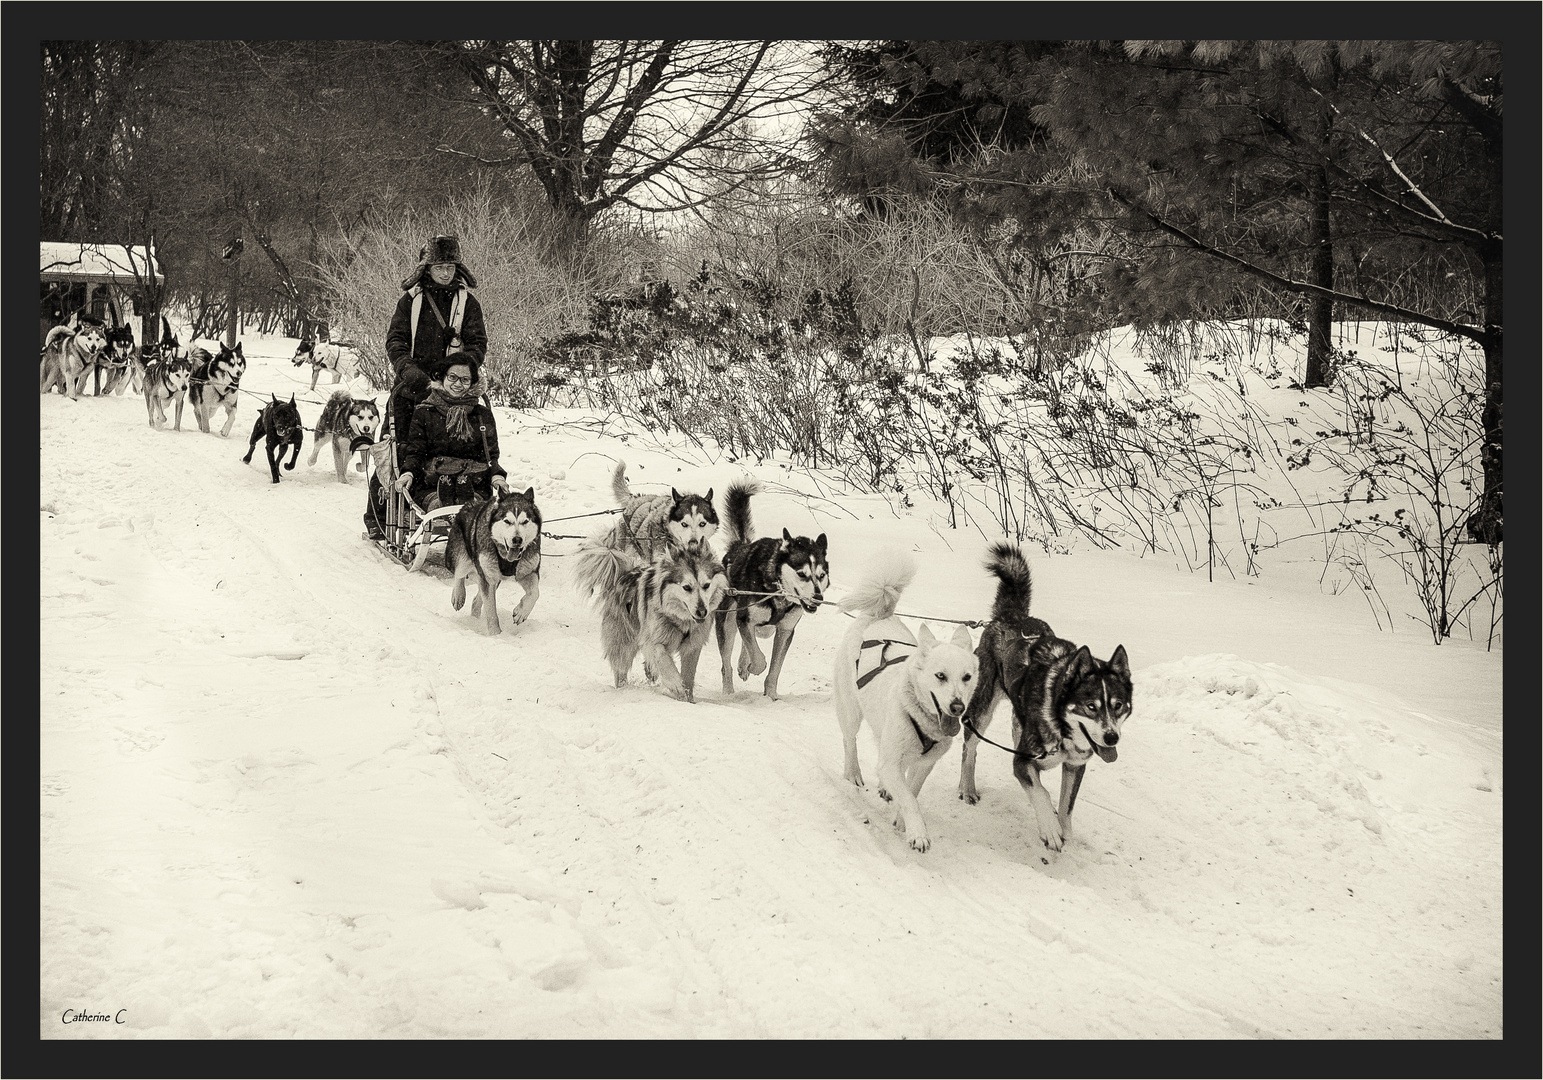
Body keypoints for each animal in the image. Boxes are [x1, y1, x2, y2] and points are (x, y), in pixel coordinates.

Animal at [447, 484, 543, 635]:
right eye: (507, 521)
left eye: (525, 521)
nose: (517, 539)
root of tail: (468, 504)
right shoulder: (488, 577)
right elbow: (491, 610)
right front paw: (496, 634)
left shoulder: (528, 571)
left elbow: (534, 593)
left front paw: (521, 612)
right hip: (465, 558)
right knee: (459, 573)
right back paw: (458, 595)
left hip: (493, 577)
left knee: (477, 599)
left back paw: (474, 619)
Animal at [573, 543, 728, 703]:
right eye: (686, 587)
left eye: (706, 585)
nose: (702, 611)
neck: (680, 619)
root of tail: (623, 576)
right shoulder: (652, 639)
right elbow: (662, 656)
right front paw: (675, 684)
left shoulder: (693, 645)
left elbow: (689, 676)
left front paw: (687, 698)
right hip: (622, 641)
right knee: (621, 668)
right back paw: (624, 688)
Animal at [712, 481, 827, 700]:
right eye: (801, 574)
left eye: (822, 575)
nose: (817, 597)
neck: (777, 589)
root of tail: (739, 547)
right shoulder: (744, 618)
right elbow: (759, 659)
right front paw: (755, 666)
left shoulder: (785, 630)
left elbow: (774, 669)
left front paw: (772, 696)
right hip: (727, 622)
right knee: (726, 664)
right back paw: (729, 691)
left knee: (750, 639)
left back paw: (743, 664)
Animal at [833, 552, 975, 857]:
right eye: (940, 676)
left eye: (967, 677)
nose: (957, 707)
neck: (920, 718)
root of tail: (877, 614)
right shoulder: (892, 761)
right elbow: (910, 798)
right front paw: (918, 833)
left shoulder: (925, 764)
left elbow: (912, 791)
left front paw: (901, 819)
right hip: (851, 711)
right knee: (850, 741)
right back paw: (853, 774)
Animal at [950, 549, 1135, 851]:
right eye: (1090, 707)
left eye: (1118, 706)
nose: (1111, 738)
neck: (1061, 726)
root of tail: (1011, 617)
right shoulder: (1023, 761)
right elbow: (1042, 792)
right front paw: (1050, 828)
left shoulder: (1075, 765)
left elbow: (1067, 804)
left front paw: (1064, 829)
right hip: (982, 710)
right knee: (970, 749)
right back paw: (967, 788)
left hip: (1017, 719)